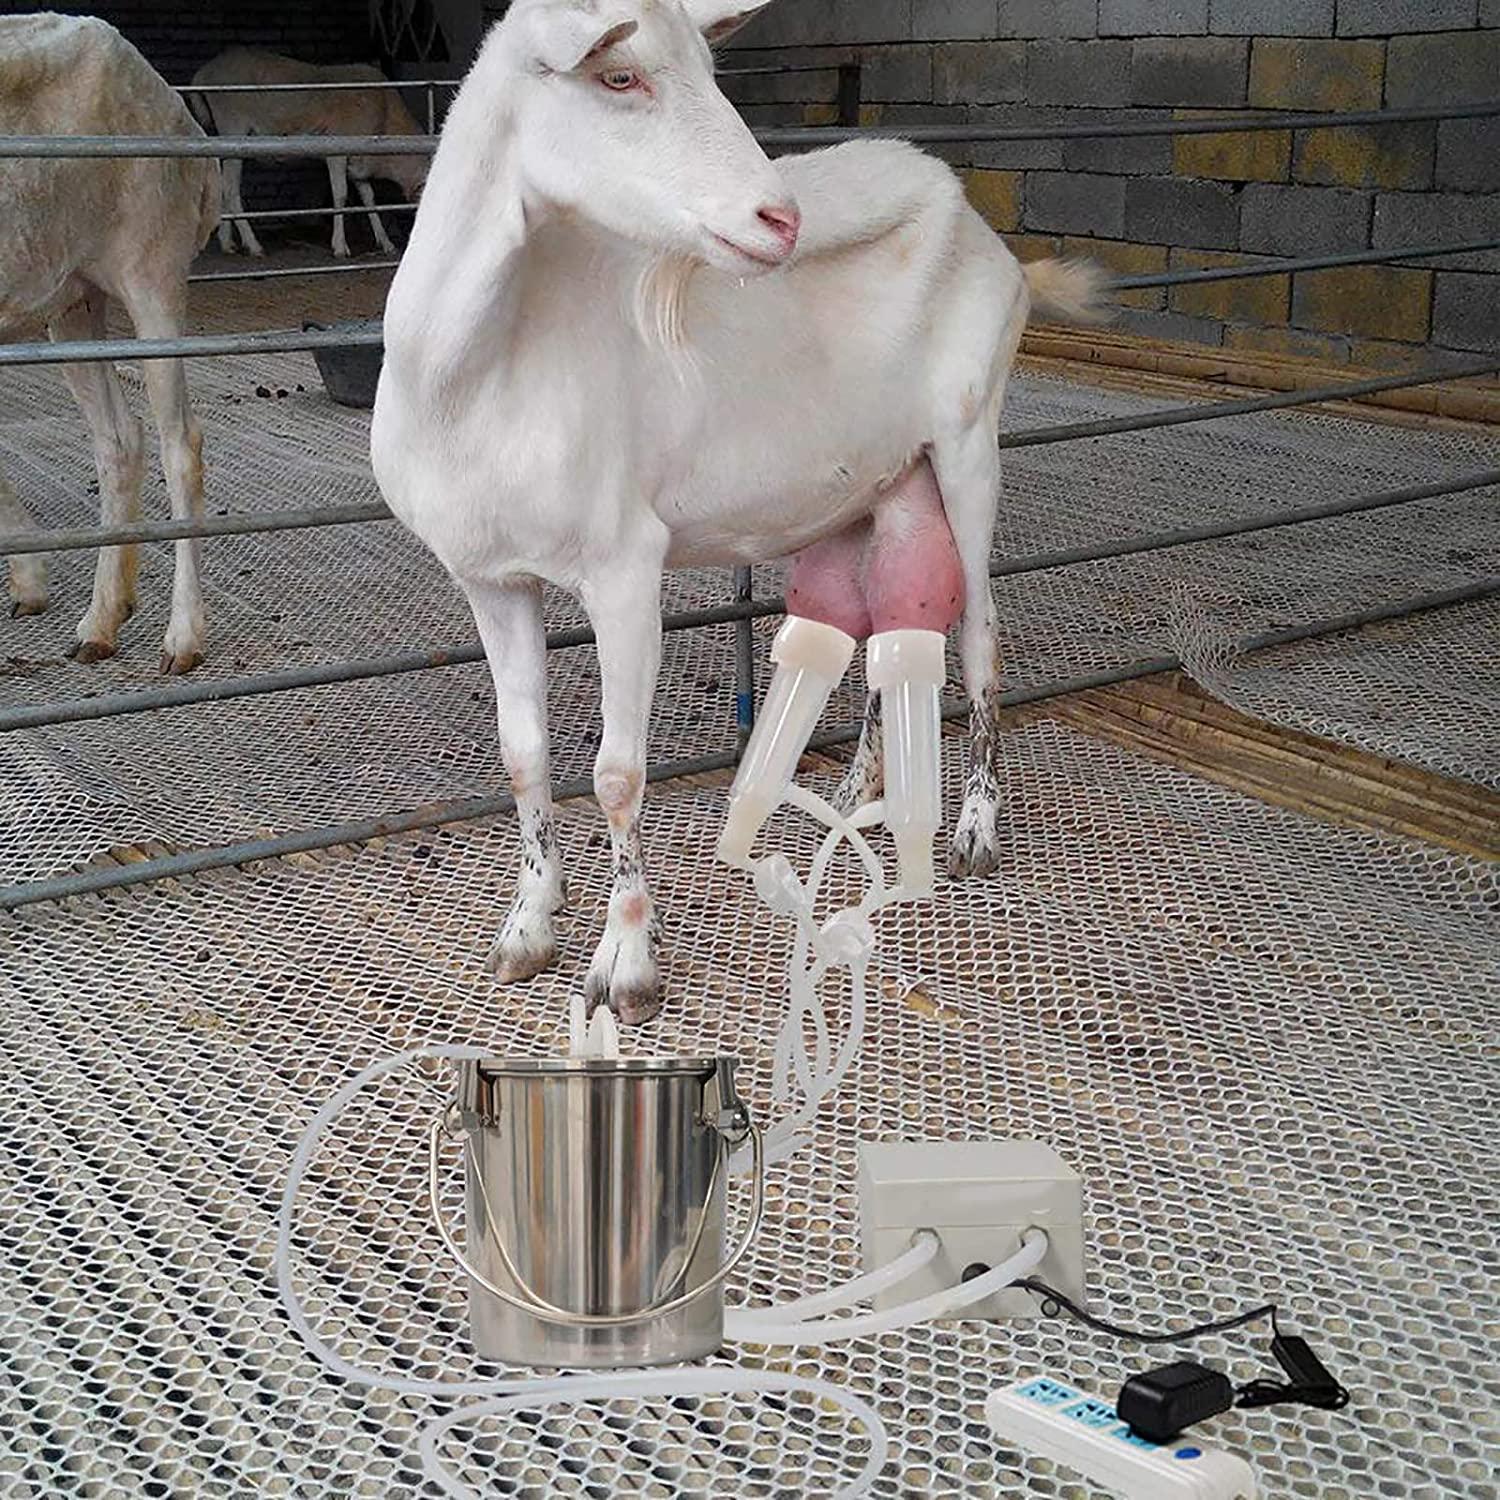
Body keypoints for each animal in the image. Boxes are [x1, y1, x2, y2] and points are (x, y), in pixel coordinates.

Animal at [1, 13, 217, 673]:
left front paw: (30, 578)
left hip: (152, 266)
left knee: (181, 443)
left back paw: (183, 638)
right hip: (73, 297)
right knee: (118, 439)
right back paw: (101, 622)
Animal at [187, 48, 429, 260]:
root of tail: (204, 72)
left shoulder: (359, 162)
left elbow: (369, 199)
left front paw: (385, 242)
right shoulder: (337, 151)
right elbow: (340, 196)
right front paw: (340, 247)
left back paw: (227, 242)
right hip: (234, 127)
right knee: (231, 189)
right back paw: (253, 245)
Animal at [371, 0, 1105, 1025]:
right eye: (620, 76)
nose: (780, 218)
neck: (482, 368)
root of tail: (984, 229)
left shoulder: (624, 567)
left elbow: (618, 774)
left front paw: (627, 967)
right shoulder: (489, 577)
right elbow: (523, 757)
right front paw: (527, 929)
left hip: (969, 442)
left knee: (982, 636)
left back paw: (972, 832)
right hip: (873, 480)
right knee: (883, 623)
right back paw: (860, 791)